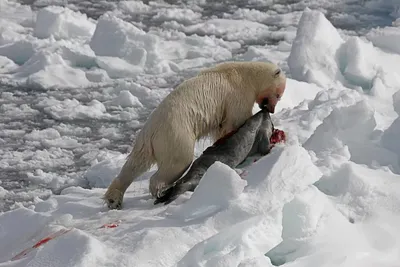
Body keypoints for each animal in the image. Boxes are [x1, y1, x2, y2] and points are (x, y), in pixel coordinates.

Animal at [103, 60, 284, 209]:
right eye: (278, 95)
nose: (271, 109)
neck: (246, 74)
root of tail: (151, 132)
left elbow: (221, 128)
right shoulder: (237, 94)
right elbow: (236, 120)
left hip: (146, 141)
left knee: (135, 164)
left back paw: (114, 199)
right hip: (176, 135)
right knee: (178, 161)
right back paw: (160, 190)